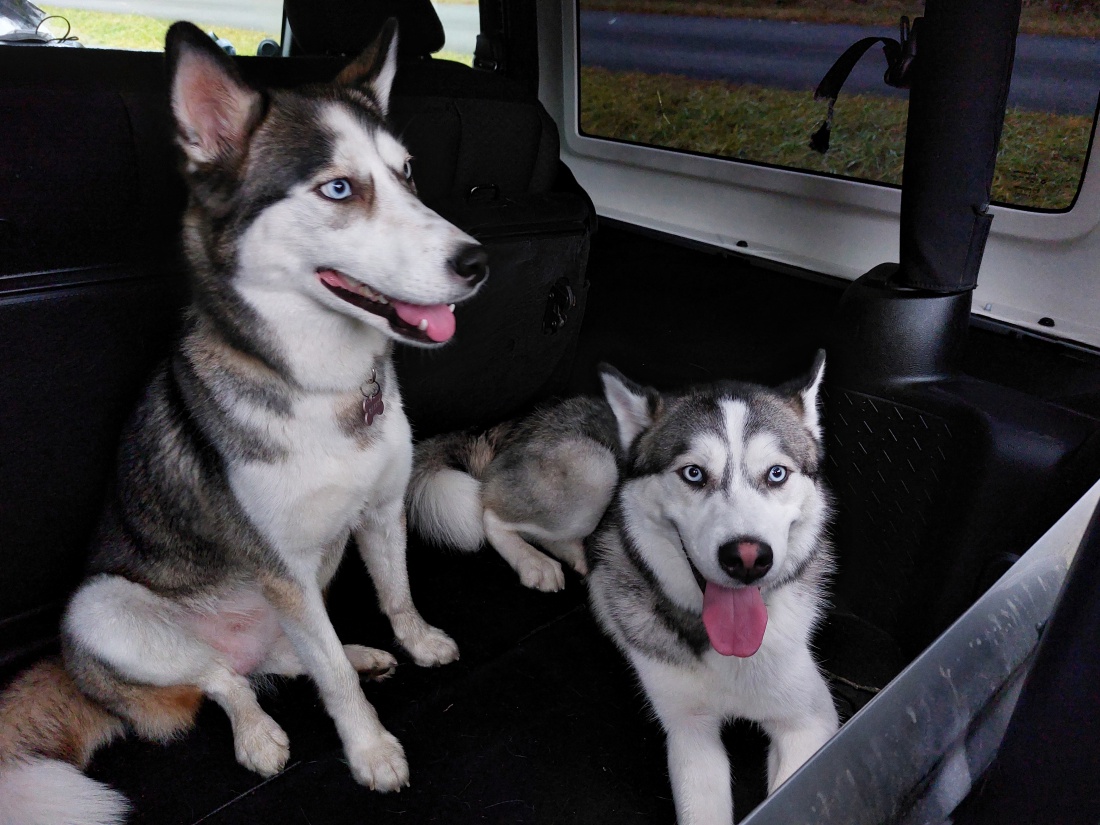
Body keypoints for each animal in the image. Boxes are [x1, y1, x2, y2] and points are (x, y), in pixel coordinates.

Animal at [0, 19, 490, 825]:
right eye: (339, 188)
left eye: (408, 174)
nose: (477, 261)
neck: (324, 386)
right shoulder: (280, 565)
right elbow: (329, 684)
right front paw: (371, 750)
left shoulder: (379, 508)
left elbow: (394, 594)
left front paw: (414, 641)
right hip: (100, 609)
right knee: (220, 680)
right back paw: (257, 733)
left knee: (291, 656)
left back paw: (360, 653)